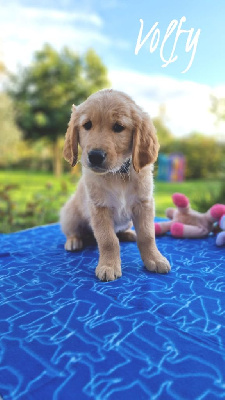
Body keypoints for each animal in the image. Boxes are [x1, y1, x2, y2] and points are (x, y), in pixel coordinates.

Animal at [59, 89, 171, 282]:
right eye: (87, 125)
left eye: (118, 127)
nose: (95, 156)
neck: (118, 174)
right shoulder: (99, 208)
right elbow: (108, 240)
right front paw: (108, 266)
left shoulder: (144, 204)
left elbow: (147, 235)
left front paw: (155, 259)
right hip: (70, 214)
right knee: (73, 231)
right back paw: (74, 241)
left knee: (121, 232)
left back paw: (129, 234)